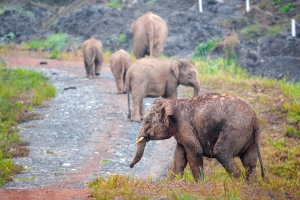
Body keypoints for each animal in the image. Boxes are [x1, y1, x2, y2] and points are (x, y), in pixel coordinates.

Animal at [130, 93, 266, 181]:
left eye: (147, 121)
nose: (130, 167)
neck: (174, 102)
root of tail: (255, 118)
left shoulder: (184, 126)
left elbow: (195, 151)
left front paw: (199, 184)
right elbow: (179, 156)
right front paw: (173, 183)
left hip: (235, 130)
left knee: (222, 152)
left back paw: (238, 183)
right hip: (249, 137)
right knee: (250, 161)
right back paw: (249, 185)